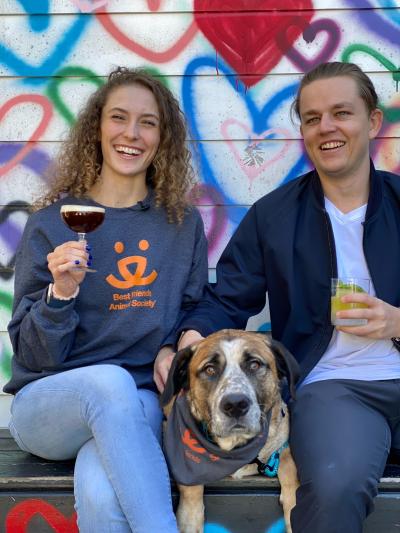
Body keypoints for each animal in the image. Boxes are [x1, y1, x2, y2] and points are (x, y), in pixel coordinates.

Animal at [159, 328, 300, 532]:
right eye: (210, 369)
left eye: (254, 365)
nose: (235, 404)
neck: (235, 447)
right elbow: (191, 489)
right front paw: (191, 518)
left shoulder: (283, 446)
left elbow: (290, 469)